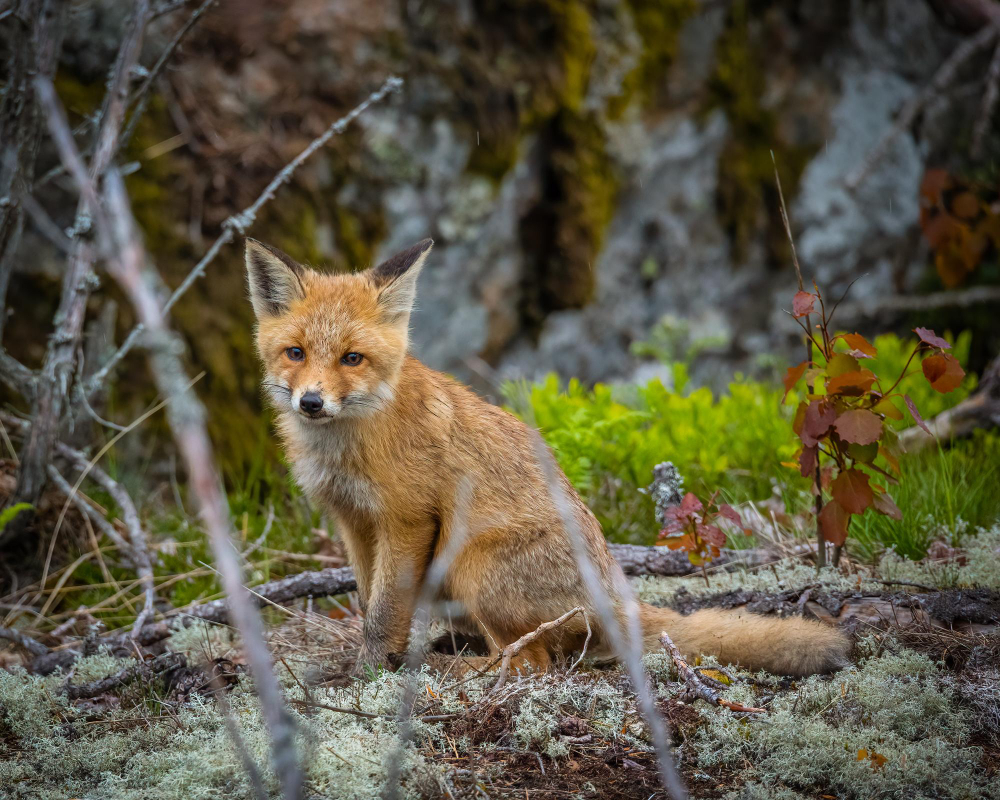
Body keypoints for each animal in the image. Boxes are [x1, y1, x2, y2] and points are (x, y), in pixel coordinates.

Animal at [245, 236, 850, 678]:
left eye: (352, 358)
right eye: (295, 353)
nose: (311, 402)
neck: (349, 445)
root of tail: (617, 593)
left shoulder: (406, 520)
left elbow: (384, 611)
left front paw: (371, 673)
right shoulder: (353, 523)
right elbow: (370, 601)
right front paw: (369, 664)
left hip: (473, 564)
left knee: (530, 664)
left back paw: (455, 672)